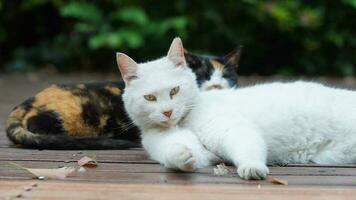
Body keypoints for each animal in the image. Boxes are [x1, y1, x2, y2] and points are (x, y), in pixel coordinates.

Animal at [118, 36, 356, 180]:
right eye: (149, 97)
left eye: (175, 91)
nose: (167, 112)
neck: (185, 121)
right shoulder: (199, 153)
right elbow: (177, 153)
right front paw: (182, 154)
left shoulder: (233, 129)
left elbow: (246, 147)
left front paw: (252, 168)